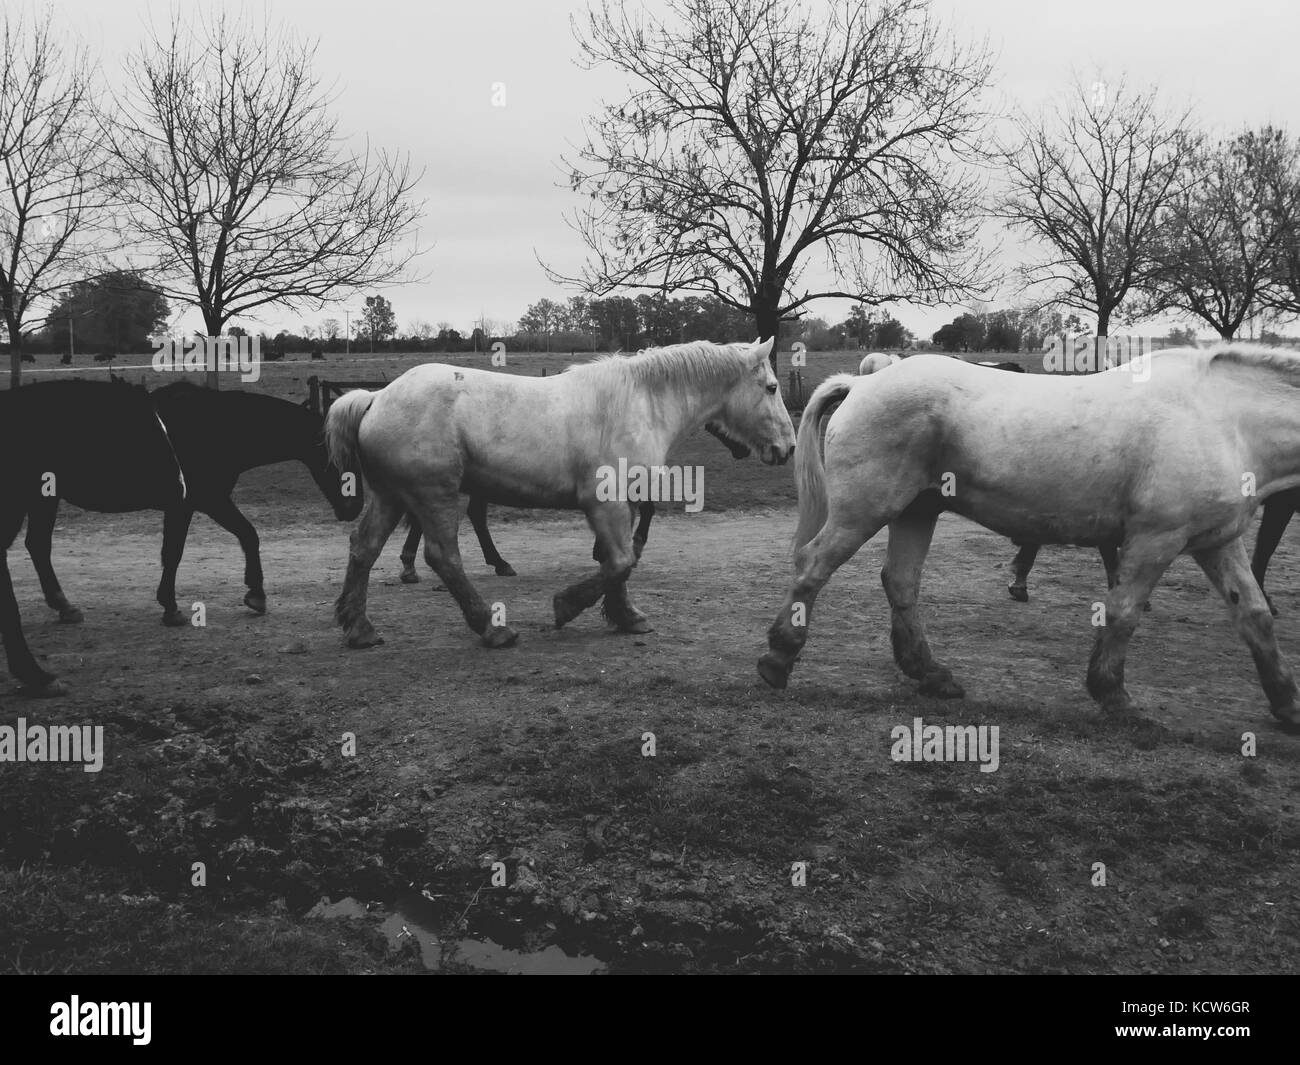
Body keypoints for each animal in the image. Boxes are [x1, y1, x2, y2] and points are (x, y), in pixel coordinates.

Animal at [0, 379, 358, 696]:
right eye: (341, 459)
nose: (353, 508)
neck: (216, 428)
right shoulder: (202, 501)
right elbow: (188, 548)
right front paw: (179, 606)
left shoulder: (196, 503)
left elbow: (235, 537)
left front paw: (250, 593)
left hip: (44, 497)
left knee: (38, 546)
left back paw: (63, 606)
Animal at [327, 338, 790, 650]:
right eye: (771, 387)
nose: (787, 448)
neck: (640, 403)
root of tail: (376, 398)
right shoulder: (606, 502)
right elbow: (620, 561)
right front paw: (567, 605)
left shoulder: (621, 504)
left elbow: (618, 562)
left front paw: (626, 616)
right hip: (435, 496)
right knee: (443, 557)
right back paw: (492, 627)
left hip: (391, 496)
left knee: (363, 548)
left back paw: (360, 628)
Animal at [759, 345, 1300, 728]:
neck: (1221, 419)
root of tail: (863, 382)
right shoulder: (1156, 541)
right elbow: (1124, 613)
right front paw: (1113, 694)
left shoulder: (1216, 542)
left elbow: (1254, 614)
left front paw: (1286, 701)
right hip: (865, 511)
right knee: (813, 566)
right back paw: (779, 657)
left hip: (916, 512)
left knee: (900, 582)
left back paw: (931, 674)